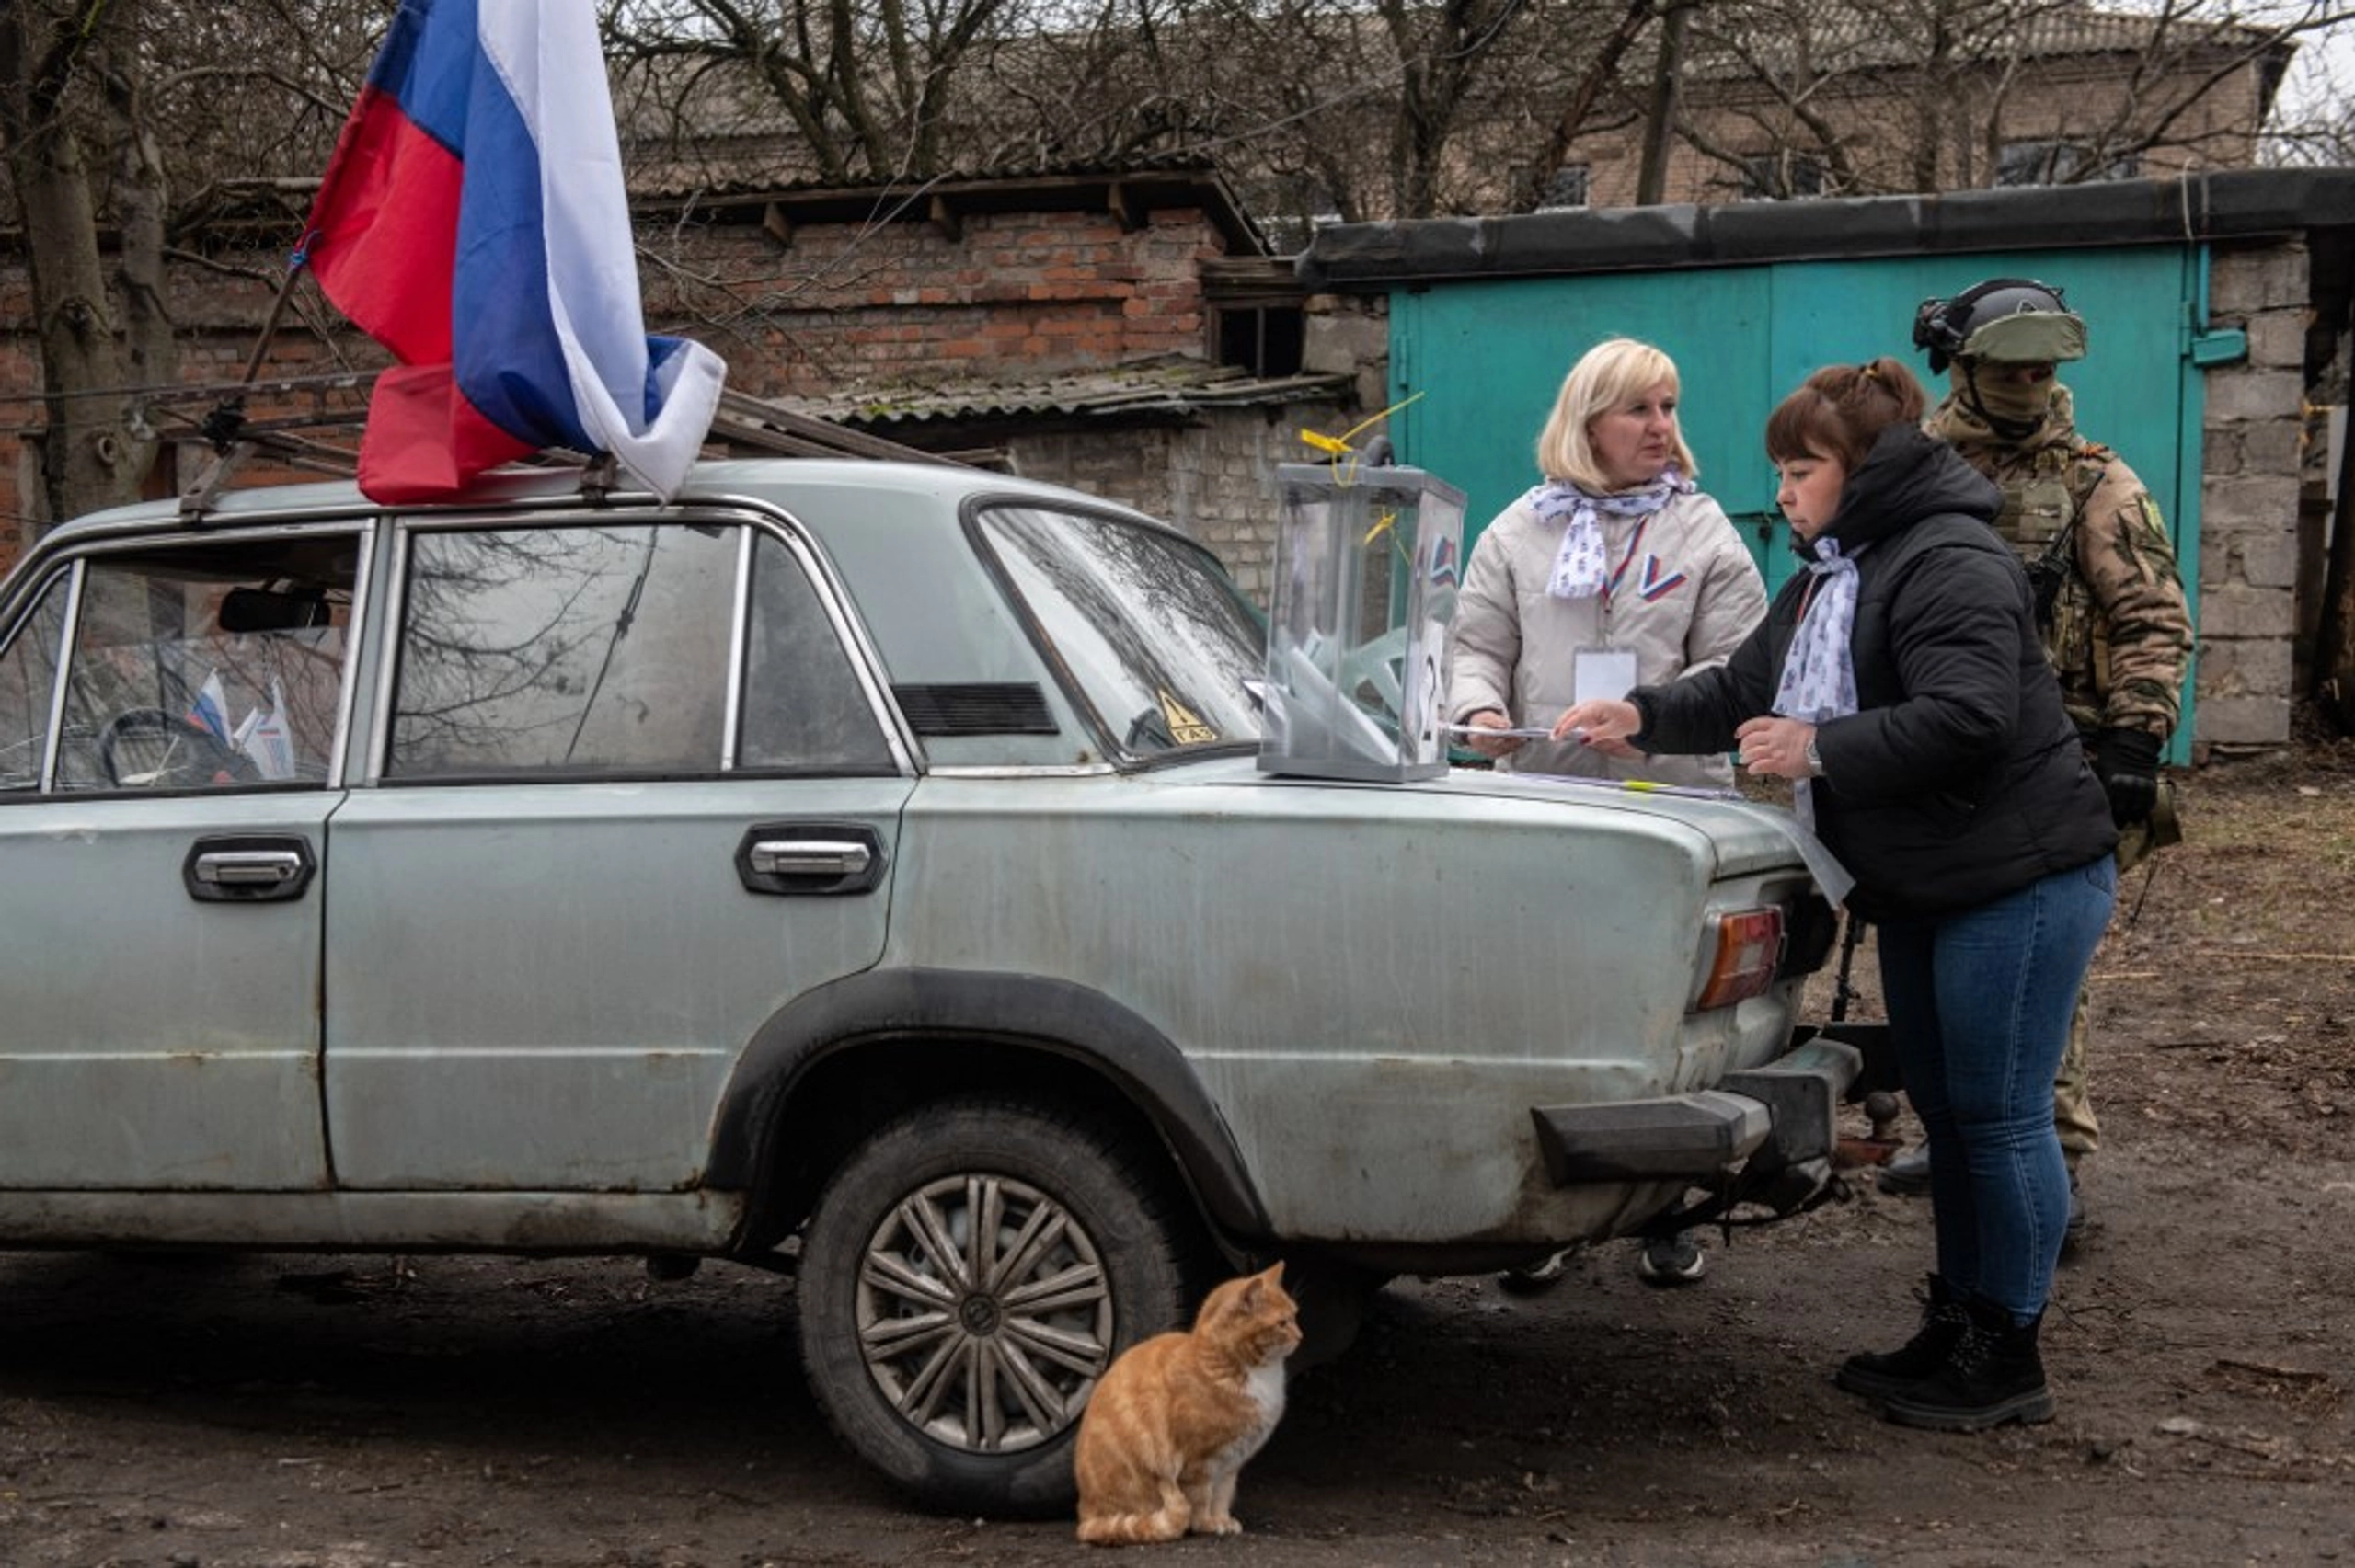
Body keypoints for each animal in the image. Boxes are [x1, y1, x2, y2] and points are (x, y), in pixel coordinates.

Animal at [1074, 1262, 1300, 1535]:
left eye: (1296, 1316)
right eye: (1282, 1323)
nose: (1301, 1336)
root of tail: (1085, 1515)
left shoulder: (1229, 1465)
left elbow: (1222, 1497)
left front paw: (1223, 1520)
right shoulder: (1199, 1461)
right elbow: (1201, 1499)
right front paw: (1207, 1524)